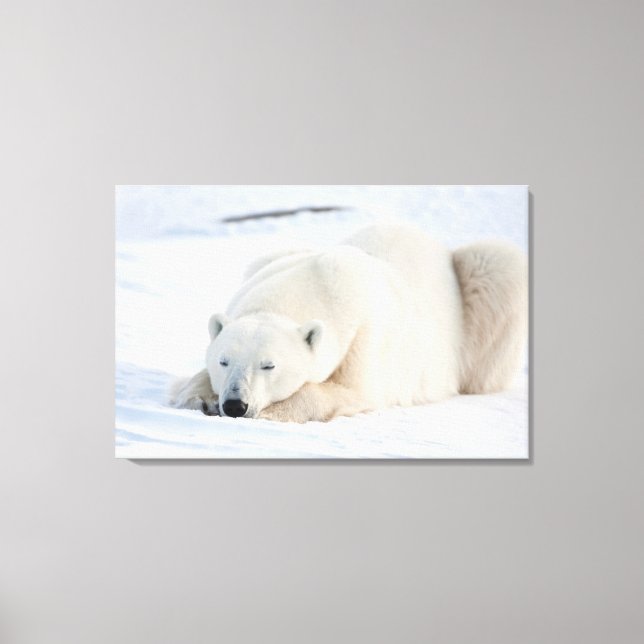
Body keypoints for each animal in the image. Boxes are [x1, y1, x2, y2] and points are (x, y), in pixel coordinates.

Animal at [169, 224, 527, 423]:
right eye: (223, 361)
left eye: (269, 365)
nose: (234, 404)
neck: (319, 280)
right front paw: (197, 396)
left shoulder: (365, 337)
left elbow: (353, 392)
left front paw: (275, 411)